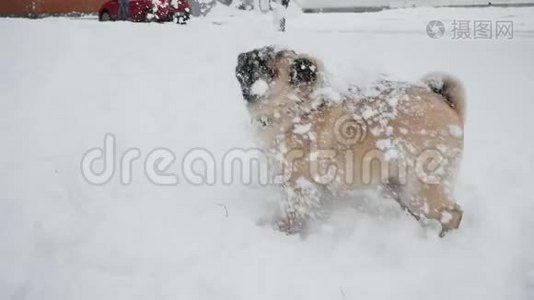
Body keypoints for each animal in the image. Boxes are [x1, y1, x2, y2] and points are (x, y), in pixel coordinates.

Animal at [237, 46, 466, 237]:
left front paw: (284, 232)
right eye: (258, 52)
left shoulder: (299, 186)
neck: (298, 110)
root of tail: (448, 106)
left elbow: (293, 213)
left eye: (265, 67)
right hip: (399, 186)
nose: (242, 57)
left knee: (453, 214)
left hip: (421, 190)